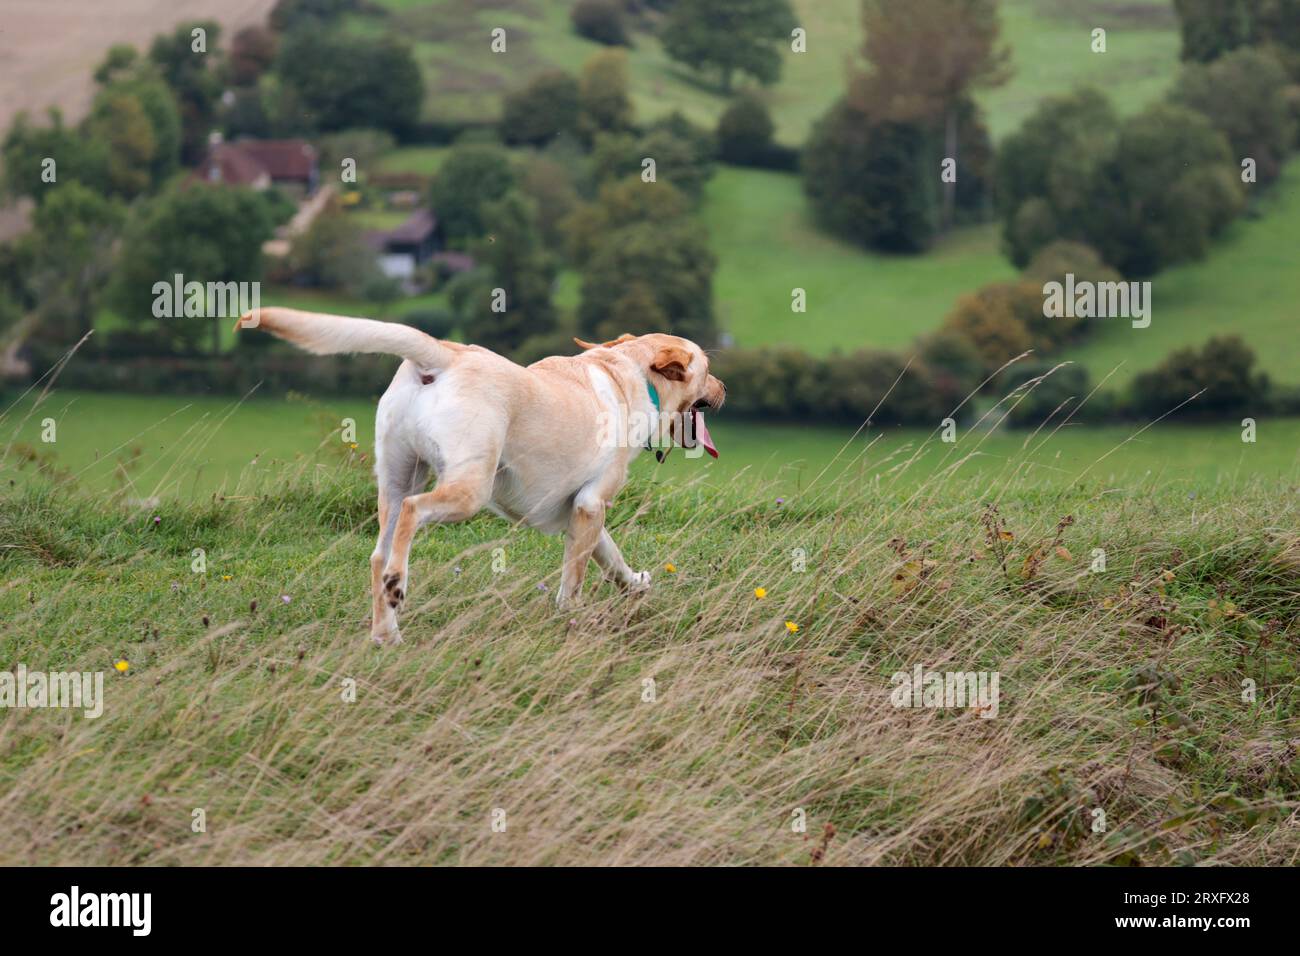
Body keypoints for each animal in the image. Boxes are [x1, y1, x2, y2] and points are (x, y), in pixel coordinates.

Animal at [233, 310, 722, 647]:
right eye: (707, 368)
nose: (724, 389)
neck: (630, 371)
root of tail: (446, 355)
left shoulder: (581, 511)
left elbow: (612, 557)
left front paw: (636, 583)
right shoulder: (590, 505)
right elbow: (575, 578)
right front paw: (572, 617)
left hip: (397, 478)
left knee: (378, 552)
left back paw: (386, 632)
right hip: (468, 488)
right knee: (412, 514)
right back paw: (398, 587)